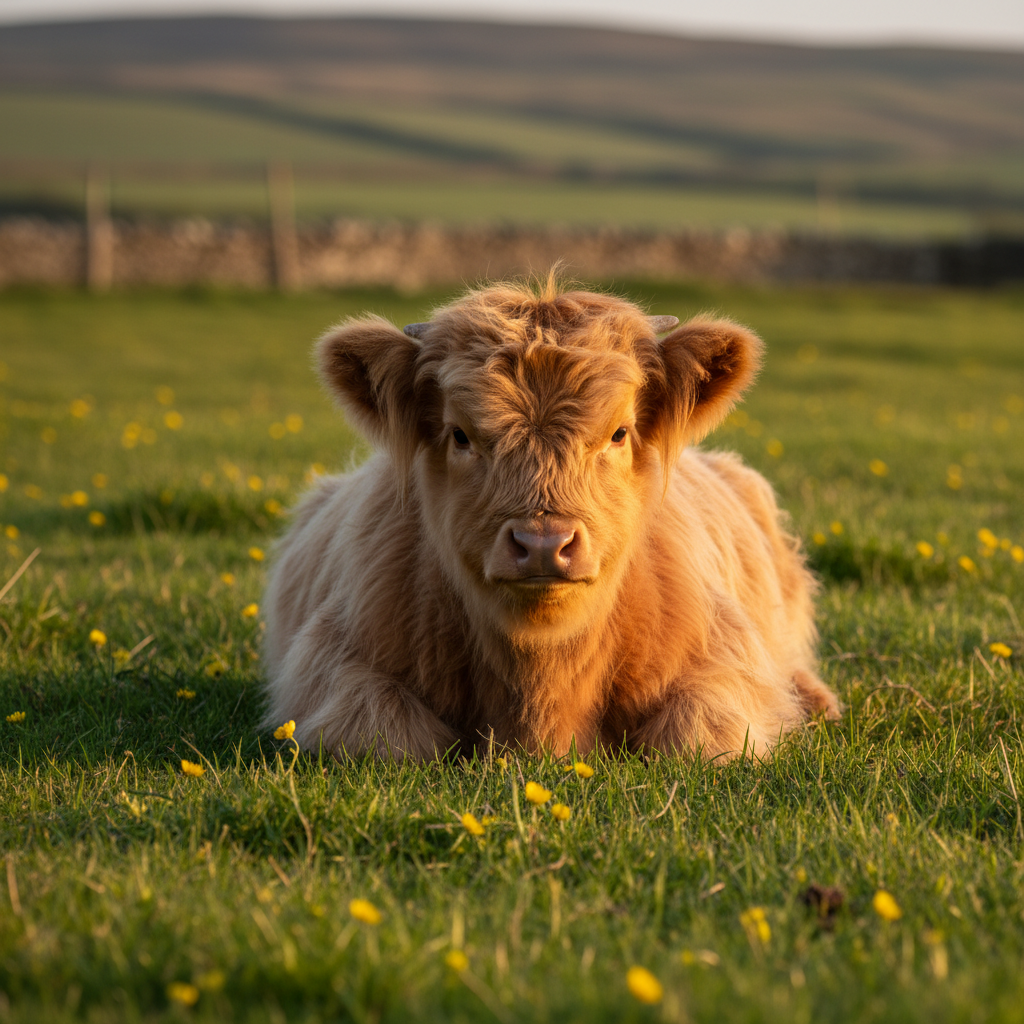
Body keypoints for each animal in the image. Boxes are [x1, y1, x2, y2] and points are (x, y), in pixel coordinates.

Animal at [262, 276, 840, 762]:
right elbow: (388, 740)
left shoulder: (725, 664)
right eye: (461, 435)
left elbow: (696, 738)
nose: (543, 543)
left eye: (619, 433)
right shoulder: (337, 665)